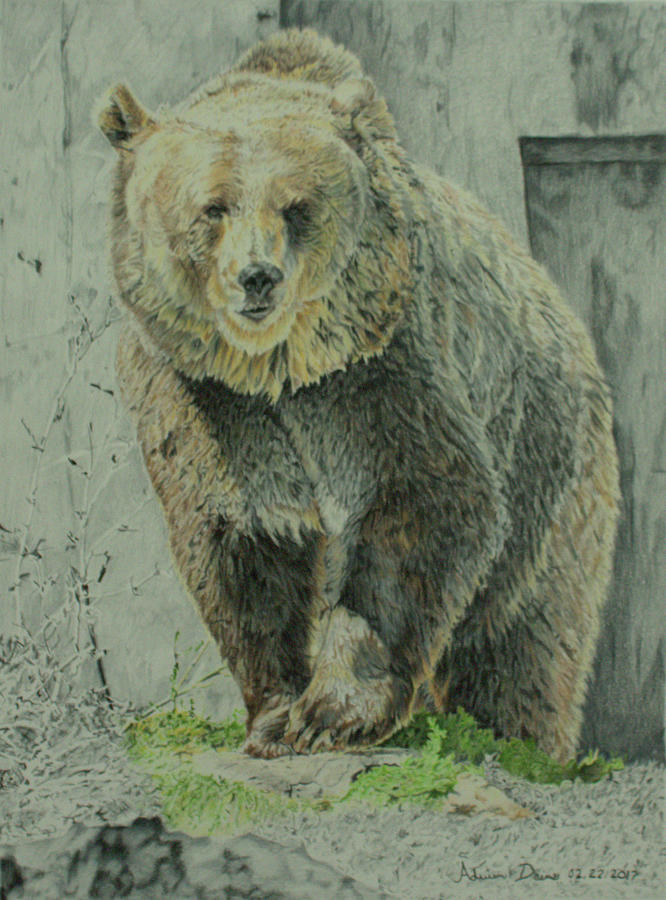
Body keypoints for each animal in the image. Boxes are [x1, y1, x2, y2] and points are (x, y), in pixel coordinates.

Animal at [98, 29, 619, 762]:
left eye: (297, 207)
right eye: (213, 208)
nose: (257, 278)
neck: (276, 371)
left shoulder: (380, 360)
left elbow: (422, 498)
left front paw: (334, 711)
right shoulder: (199, 396)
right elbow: (241, 536)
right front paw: (275, 714)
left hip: (547, 458)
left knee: (526, 639)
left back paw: (518, 734)